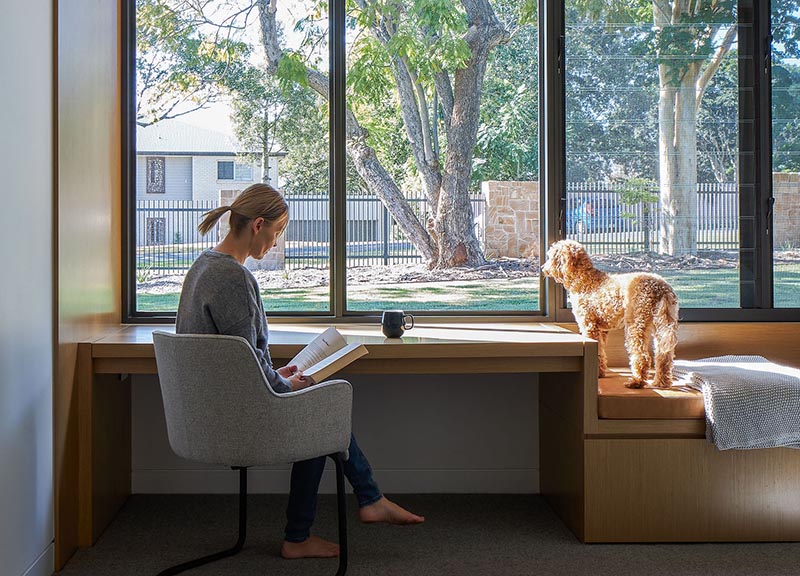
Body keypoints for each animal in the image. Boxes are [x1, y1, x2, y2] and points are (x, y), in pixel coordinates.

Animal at [540, 238, 680, 388]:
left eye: (551, 256)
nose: (542, 268)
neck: (584, 279)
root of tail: (661, 288)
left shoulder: (589, 326)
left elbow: (597, 350)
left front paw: (596, 373)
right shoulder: (602, 330)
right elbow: (601, 352)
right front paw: (600, 372)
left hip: (636, 324)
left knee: (642, 355)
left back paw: (636, 381)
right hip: (662, 324)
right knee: (664, 355)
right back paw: (661, 382)